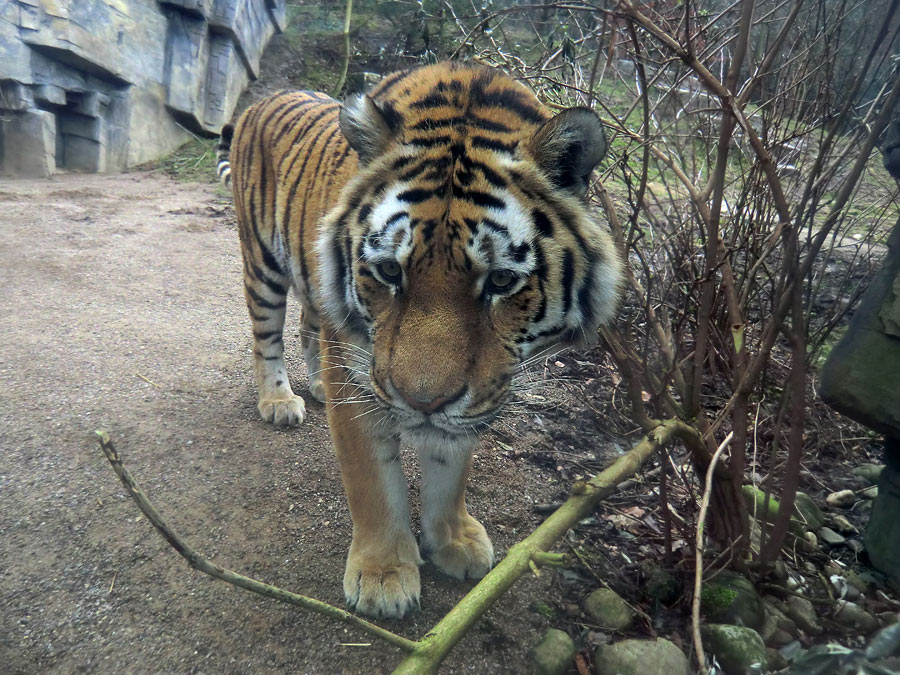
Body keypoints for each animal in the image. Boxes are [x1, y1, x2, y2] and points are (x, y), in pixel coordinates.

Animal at [221, 62, 624, 616]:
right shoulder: (357, 370)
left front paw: (453, 540)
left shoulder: (478, 395)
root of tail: (265, 98)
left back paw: (315, 387)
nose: (423, 402)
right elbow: (371, 479)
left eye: (501, 281)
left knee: (308, 320)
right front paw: (383, 574)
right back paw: (279, 400)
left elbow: (450, 467)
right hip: (261, 264)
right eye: (390, 271)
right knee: (265, 337)